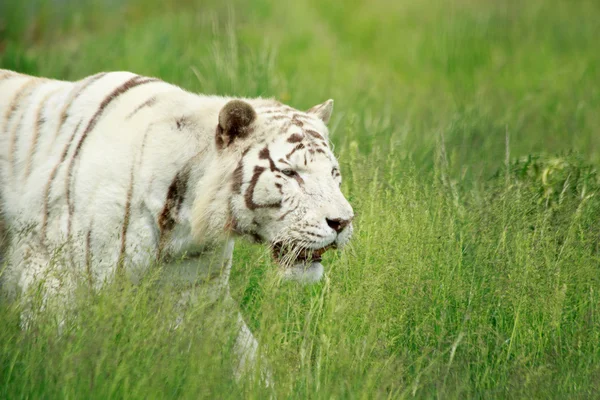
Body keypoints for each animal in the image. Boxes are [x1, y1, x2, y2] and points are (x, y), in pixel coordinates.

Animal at [0, 69, 354, 378]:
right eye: (291, 173)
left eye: (334, 173)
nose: (342, 222)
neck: (182, 223)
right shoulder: (53, 280)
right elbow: (61, 356)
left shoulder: (201, 295)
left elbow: (247, 358)